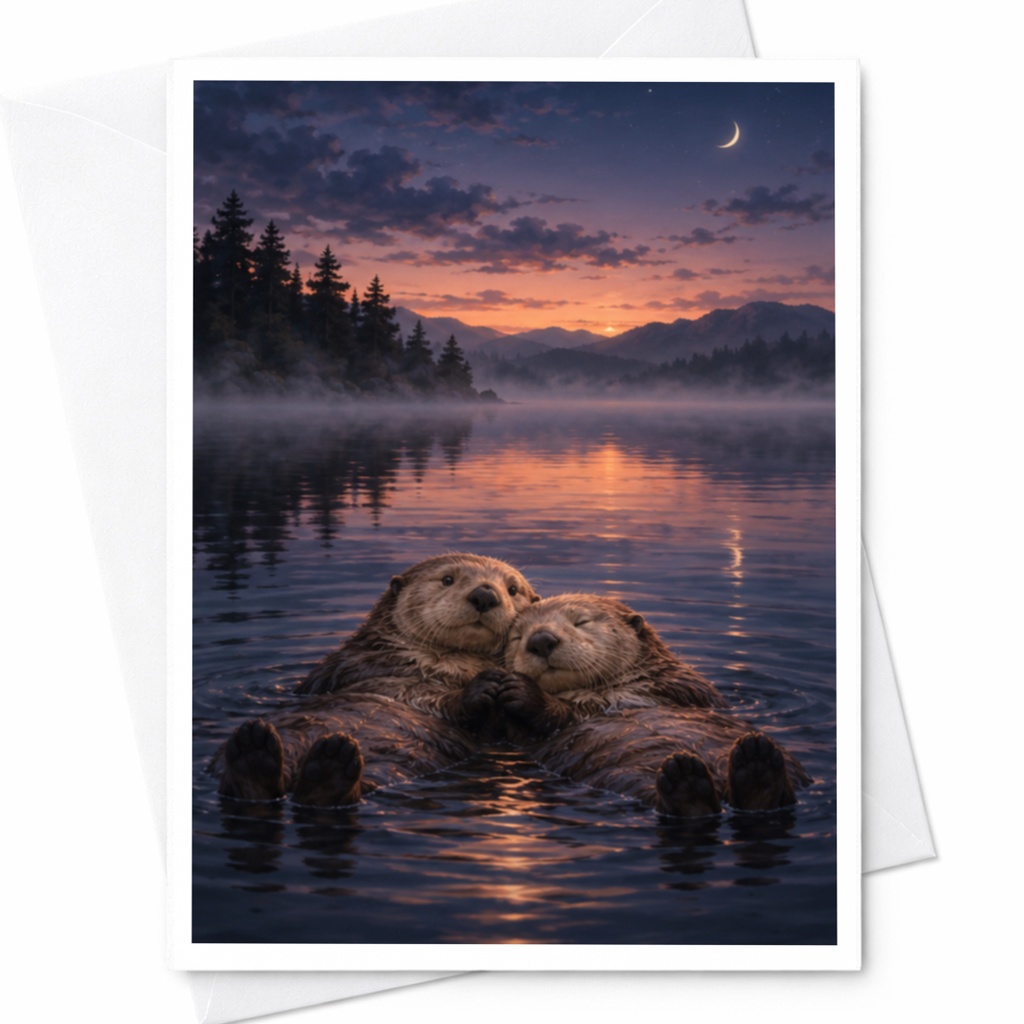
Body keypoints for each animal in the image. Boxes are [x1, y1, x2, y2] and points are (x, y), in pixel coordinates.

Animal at [215, 553, 540, 806]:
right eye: (447, 579)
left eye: (513, 589)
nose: (485, 595)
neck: (440, 664)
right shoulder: (341, 667)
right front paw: (481, 686)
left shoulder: (493, 727)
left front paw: (515, 688)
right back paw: (255, 749)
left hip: (383, 770)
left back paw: (321, 763)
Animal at [460, 593, 808, 816]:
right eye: (517, 637)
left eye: (581, 621)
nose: (541, 640)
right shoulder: (518, 736)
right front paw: (489, 687)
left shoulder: (682, 687)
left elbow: (579, 710)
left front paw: (524, 691)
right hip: (630, 778)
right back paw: (697, 780)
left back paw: (755, 762)